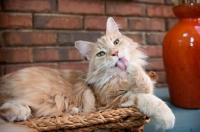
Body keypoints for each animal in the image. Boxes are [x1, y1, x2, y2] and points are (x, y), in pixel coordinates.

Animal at [0, 17, 175, 130]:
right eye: (101, 54)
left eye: (116, 42)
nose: (115, 53)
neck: (119, 77)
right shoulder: (111, 102)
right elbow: (146, 97)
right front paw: (168, 118)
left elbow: (146, 86)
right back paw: (21, 112)